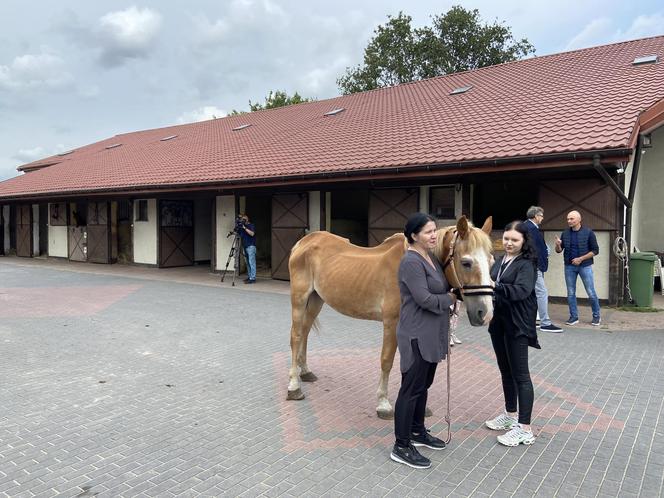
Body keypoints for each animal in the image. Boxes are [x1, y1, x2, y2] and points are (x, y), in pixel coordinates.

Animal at [286, 216, 492, 418]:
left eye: (491, 262)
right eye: (466, 262)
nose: (485, 313)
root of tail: (304, 242)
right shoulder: (392, 323)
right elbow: (387, 360)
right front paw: (383, 404)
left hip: (316, 300)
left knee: (305, 332)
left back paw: (305, 371)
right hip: (299, 298)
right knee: (296, 336)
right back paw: (294, 386)